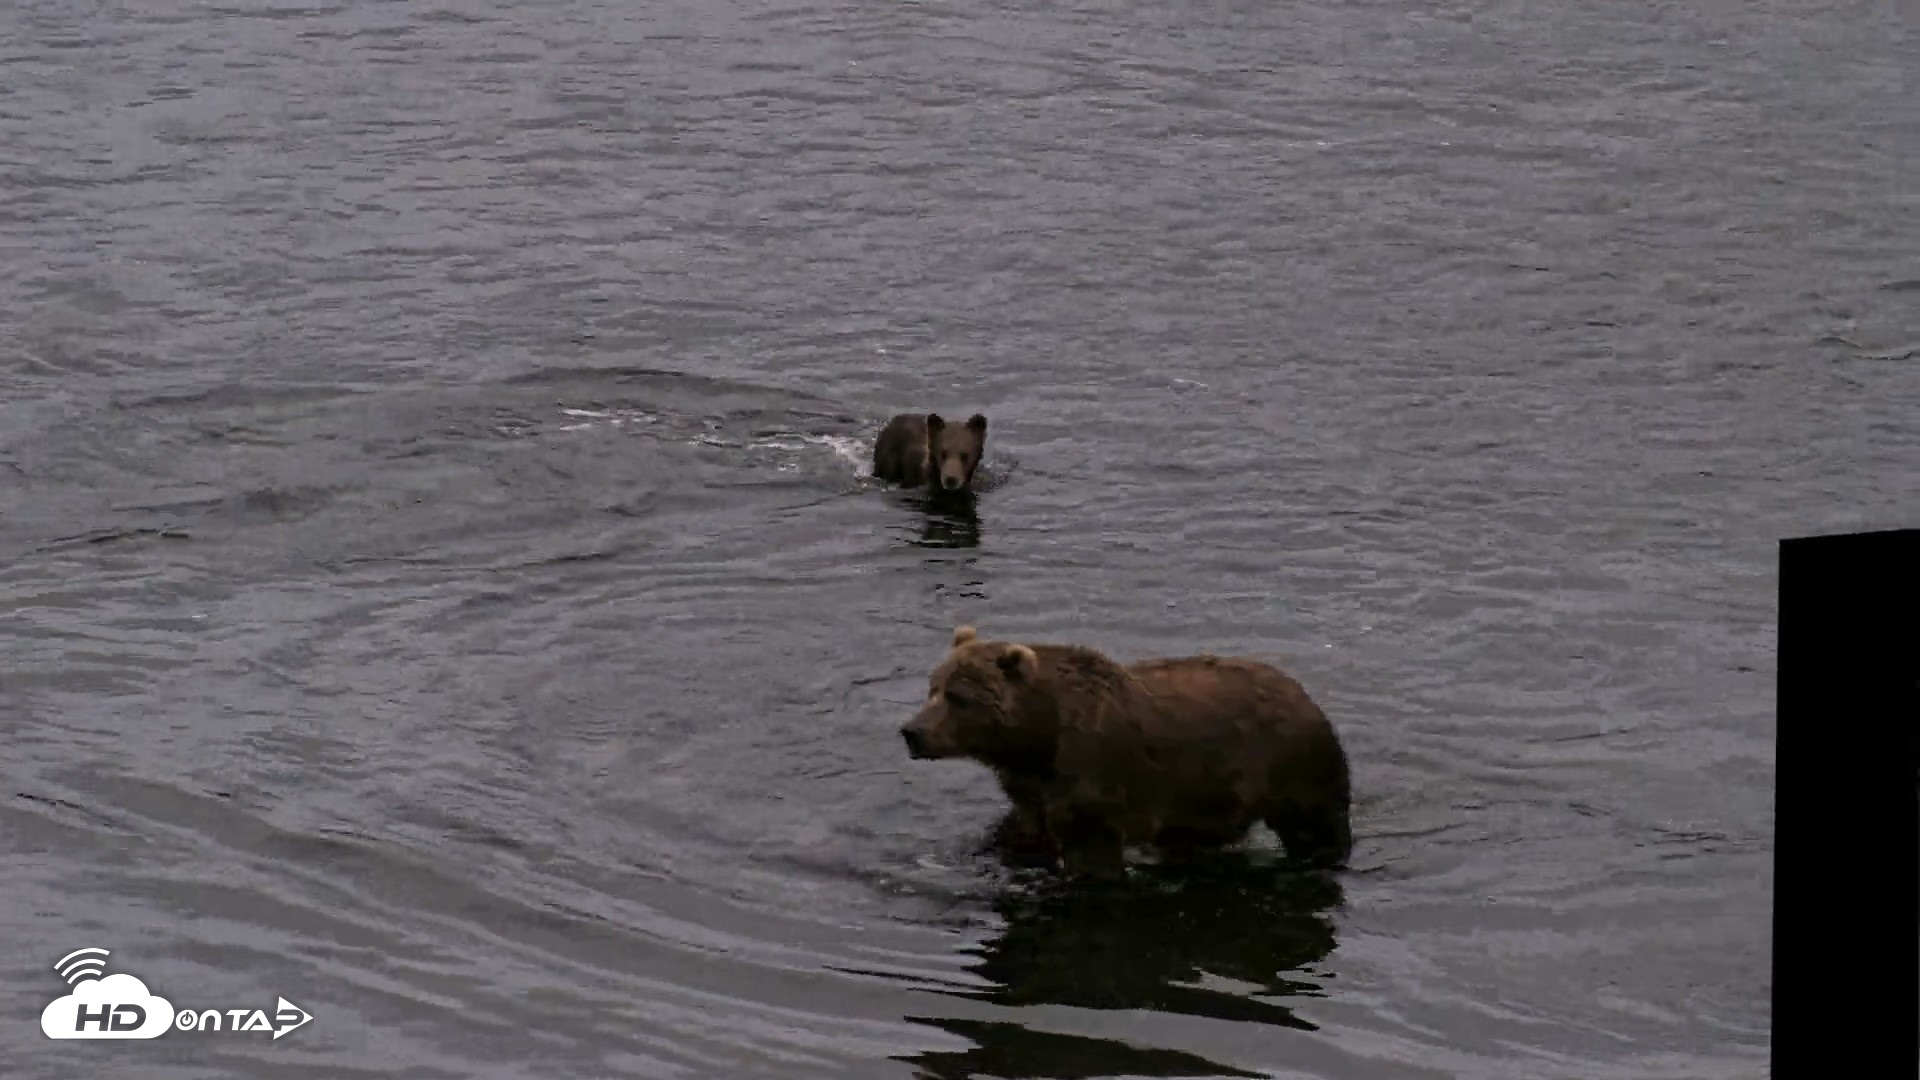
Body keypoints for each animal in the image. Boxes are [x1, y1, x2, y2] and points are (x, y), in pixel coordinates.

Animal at [899, 625, 1353, 876]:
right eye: (932, 688)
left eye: (958, 697)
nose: (912, 732)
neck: (1038, 739)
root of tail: (1304, 692)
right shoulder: (1033, 788)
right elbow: (1021, 832)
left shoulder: (1092, 780)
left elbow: (1091, 851)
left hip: (1289, 766)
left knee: (1316, 825)